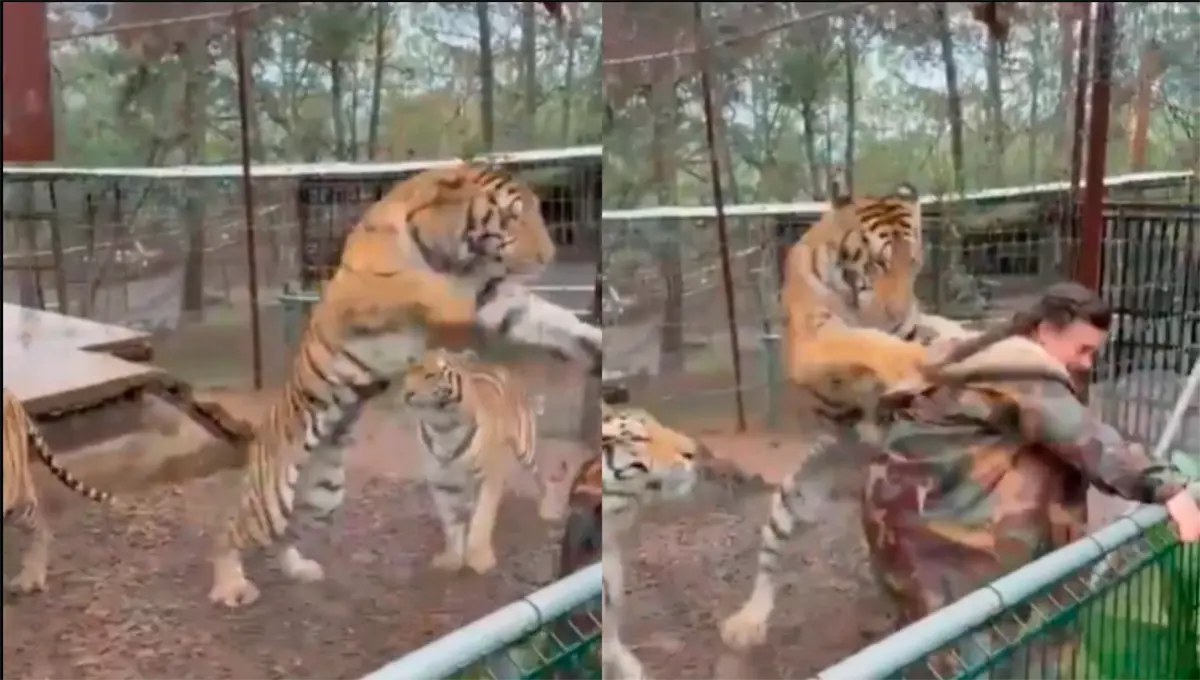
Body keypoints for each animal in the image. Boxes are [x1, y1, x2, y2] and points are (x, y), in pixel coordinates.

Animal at [399, 347, 563, 574]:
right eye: (411, 370)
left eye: (431, 375)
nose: (408, 393)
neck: (443, 430)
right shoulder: (442, 483)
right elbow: (450, 524)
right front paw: (452, 559)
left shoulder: (488, 477)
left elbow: (482, 517)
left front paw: (479, 559)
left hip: (525, 449)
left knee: (541, 477)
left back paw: (548, 510)